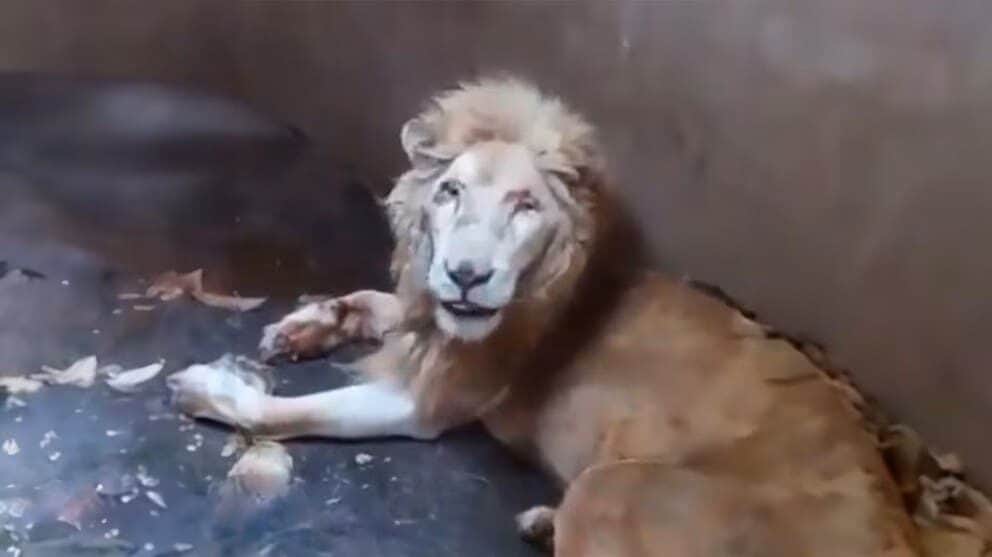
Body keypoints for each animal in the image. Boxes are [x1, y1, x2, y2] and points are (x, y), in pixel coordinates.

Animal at [168, 77, 920, 556]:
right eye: (450, 191)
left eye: (525, 205)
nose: (466, 274)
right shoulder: (428, 319)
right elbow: (375, 303)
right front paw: (302, 327)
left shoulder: (433, 400)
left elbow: (296, 411)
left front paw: (207, 388)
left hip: (613, 485)